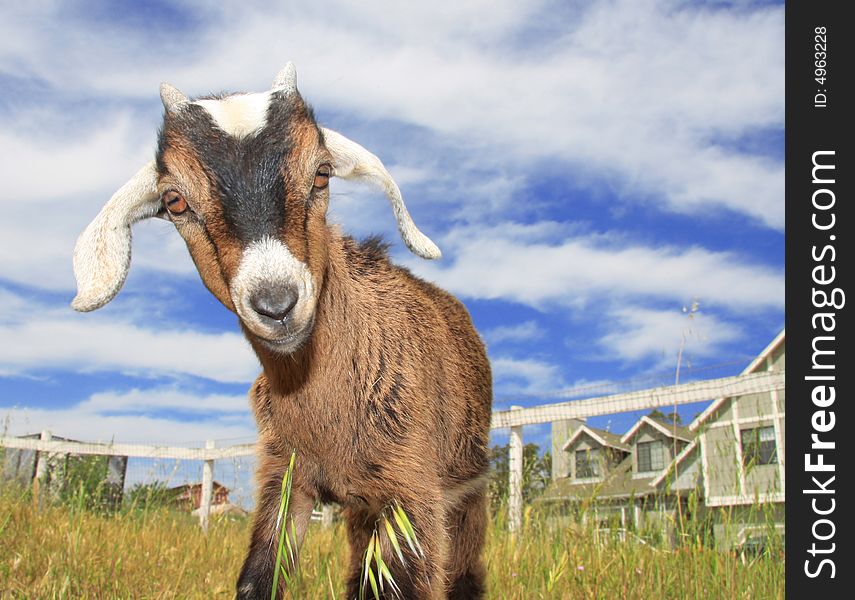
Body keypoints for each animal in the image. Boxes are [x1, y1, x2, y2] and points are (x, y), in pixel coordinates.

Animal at [73, 64, 494, 600]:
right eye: (174, 201)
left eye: (322, 173)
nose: (277, 303)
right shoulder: (284, 475)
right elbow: (260, 576)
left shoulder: (412, 485)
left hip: (465, 489)